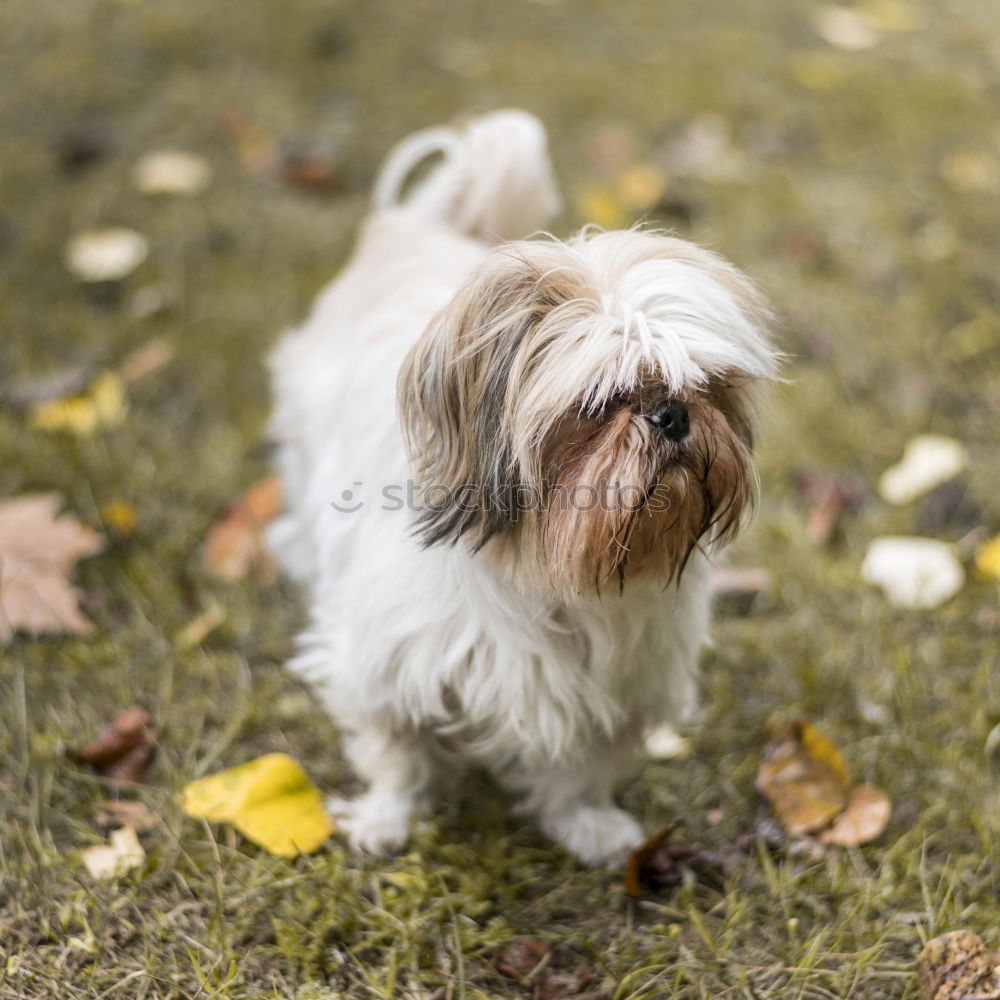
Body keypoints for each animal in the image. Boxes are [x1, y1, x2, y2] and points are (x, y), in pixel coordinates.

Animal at [270, 111, 776, 868]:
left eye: (705, 388)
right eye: (601, 403)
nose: (672, 414)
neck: (549, 568)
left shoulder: (622, 679)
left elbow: (584, 769)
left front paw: (587, 825)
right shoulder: (384, 659)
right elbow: (397, 752)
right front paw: (388, 819)